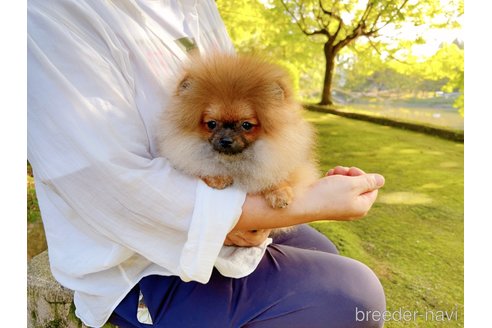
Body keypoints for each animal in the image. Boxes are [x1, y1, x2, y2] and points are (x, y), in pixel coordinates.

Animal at [158, 52, 320, 214]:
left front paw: (279, 192)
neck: (234, 160)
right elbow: (202, 166)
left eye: (246, 125)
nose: (226, 140)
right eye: (211, 124)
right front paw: (218, 177)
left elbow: (280, 176)